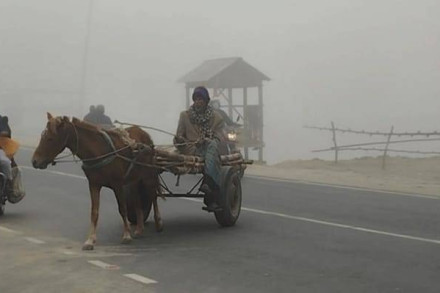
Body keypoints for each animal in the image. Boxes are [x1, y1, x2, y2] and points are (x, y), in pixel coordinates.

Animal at [32, 112, 163, 249]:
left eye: (50, 138)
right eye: (42, 136)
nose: (35, 161)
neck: (98, 151)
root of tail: (144, 133)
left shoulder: (118, 184)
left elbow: (122, 209)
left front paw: (126, 235)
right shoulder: (94, 184)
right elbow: (94, 212)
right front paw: (90, 240)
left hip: (149, 176)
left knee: (153, 195)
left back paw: (158, 222)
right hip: (134, 179)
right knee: (137, 200)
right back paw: (139, 228)